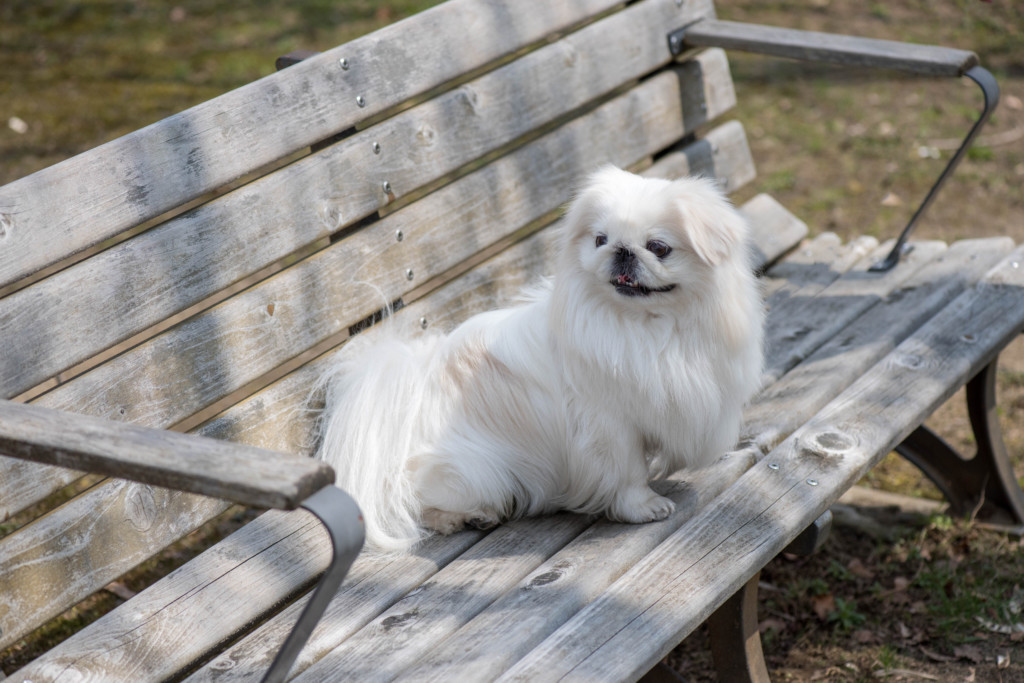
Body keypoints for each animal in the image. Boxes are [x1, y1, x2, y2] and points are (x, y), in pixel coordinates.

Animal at [315, 166, 765, 557]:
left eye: (659, 248)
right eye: (600, 240)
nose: (622, 251)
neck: (647, 326)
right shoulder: (610, 425)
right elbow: (629, 471)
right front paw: (643, 507)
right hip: (475, 472)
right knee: (415, 502)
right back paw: (466, 517)